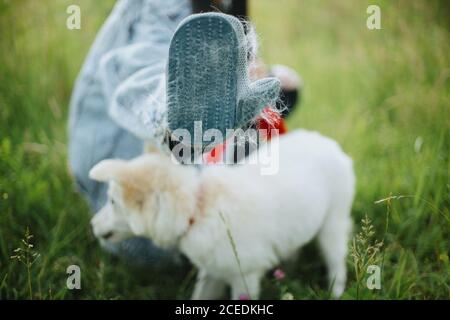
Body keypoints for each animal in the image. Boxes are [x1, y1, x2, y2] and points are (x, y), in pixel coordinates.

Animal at [89, 129, 356, 298]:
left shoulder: (245, 277)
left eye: (112, 201)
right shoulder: (212, 272)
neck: (197, 208)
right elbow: (199, 297)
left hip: (333, 224)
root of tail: (330, 144)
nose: (92, 224)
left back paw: (335, 292)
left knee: (337, 264)